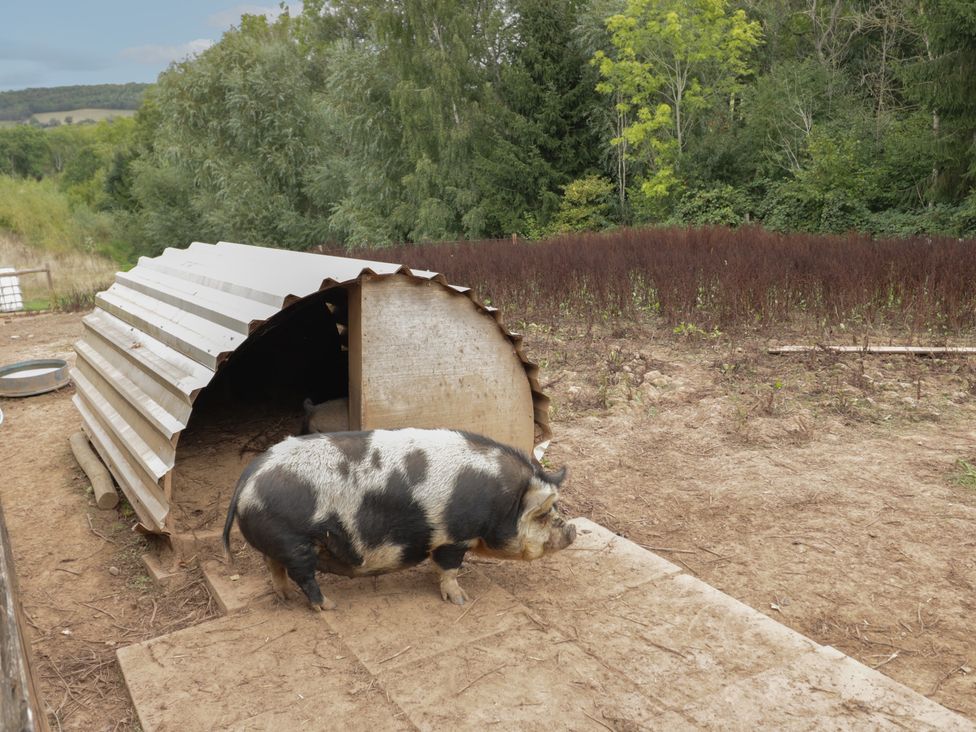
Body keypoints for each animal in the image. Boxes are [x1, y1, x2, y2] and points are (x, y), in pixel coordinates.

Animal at [221, 428, 575, 611]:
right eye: (544, 513)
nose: (572, 530)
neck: (502, 501)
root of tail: (246, 479)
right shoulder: (454, 537)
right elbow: (450, 569)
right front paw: (460, 601)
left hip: (280, 543)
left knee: (273, 566)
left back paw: (284, 598)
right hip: (295, 543)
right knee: (303, 576)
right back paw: (329, 606)